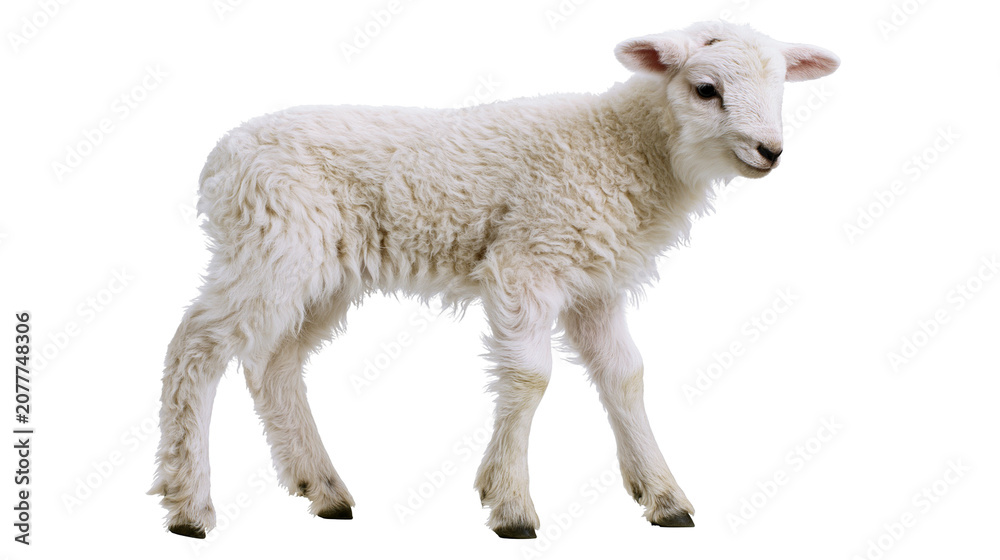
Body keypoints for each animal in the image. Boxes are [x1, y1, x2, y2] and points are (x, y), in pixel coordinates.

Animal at [151, 20, 839, 539]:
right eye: (704, 89)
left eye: (781, 86)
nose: (770, 152)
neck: (626, 146)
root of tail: (220, 159)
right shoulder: (525, 260)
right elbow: (531, 378)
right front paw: (510, 505)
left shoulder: (595, 284)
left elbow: (626, 377)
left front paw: (664, 497)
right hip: (272, 245)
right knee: (197, 348)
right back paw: (189, 506)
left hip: (318, 272)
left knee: (274, 362)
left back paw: (323, 489)